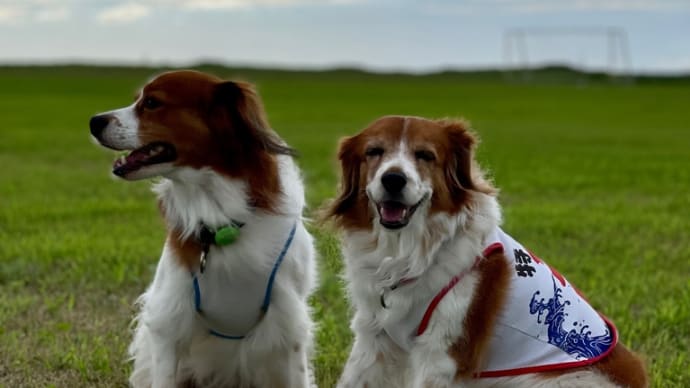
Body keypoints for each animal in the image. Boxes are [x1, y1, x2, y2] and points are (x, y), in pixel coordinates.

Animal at [88, 70, 318, 388]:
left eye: (152, 102)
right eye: (138, 99)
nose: (93, 121)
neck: (220, 217)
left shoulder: (288, 324)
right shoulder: (169, 320)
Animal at [322, 116, 644, 388]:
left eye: (425, 155)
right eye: (374, 151)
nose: (393, 179)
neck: (407, 253)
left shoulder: (441, 355)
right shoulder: (373, 335)